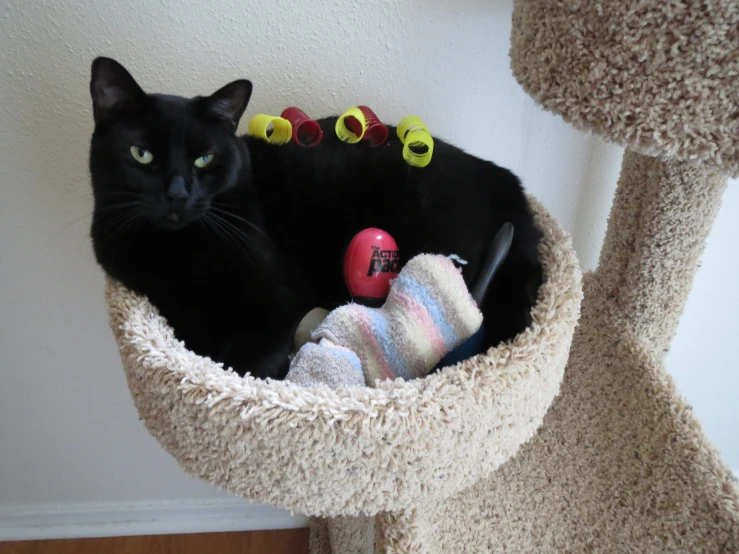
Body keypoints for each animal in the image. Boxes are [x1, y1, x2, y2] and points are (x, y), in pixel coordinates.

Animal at [91, 57, 544, 380]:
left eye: (205, 159)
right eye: (141, 154)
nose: (177, 195)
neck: (179, 253)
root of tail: (505, 179)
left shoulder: (281, 300)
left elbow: (237, 365)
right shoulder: (176, 311)